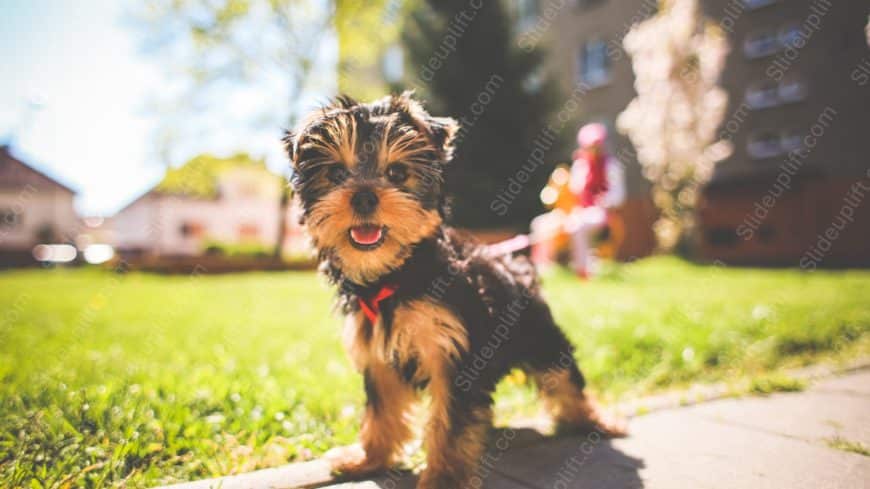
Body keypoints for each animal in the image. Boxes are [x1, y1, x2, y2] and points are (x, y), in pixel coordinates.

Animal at [286, 92, 628, 488]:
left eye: (397, 173)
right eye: (336, 174)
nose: (364, 197)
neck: (397, 275)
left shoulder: (453, 354)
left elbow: (450, 422)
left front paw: (445, 476)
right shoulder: (377, 353)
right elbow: (381, 410)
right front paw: (369, 458)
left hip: (538, 333)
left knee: (563, 374)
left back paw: (595, 420)